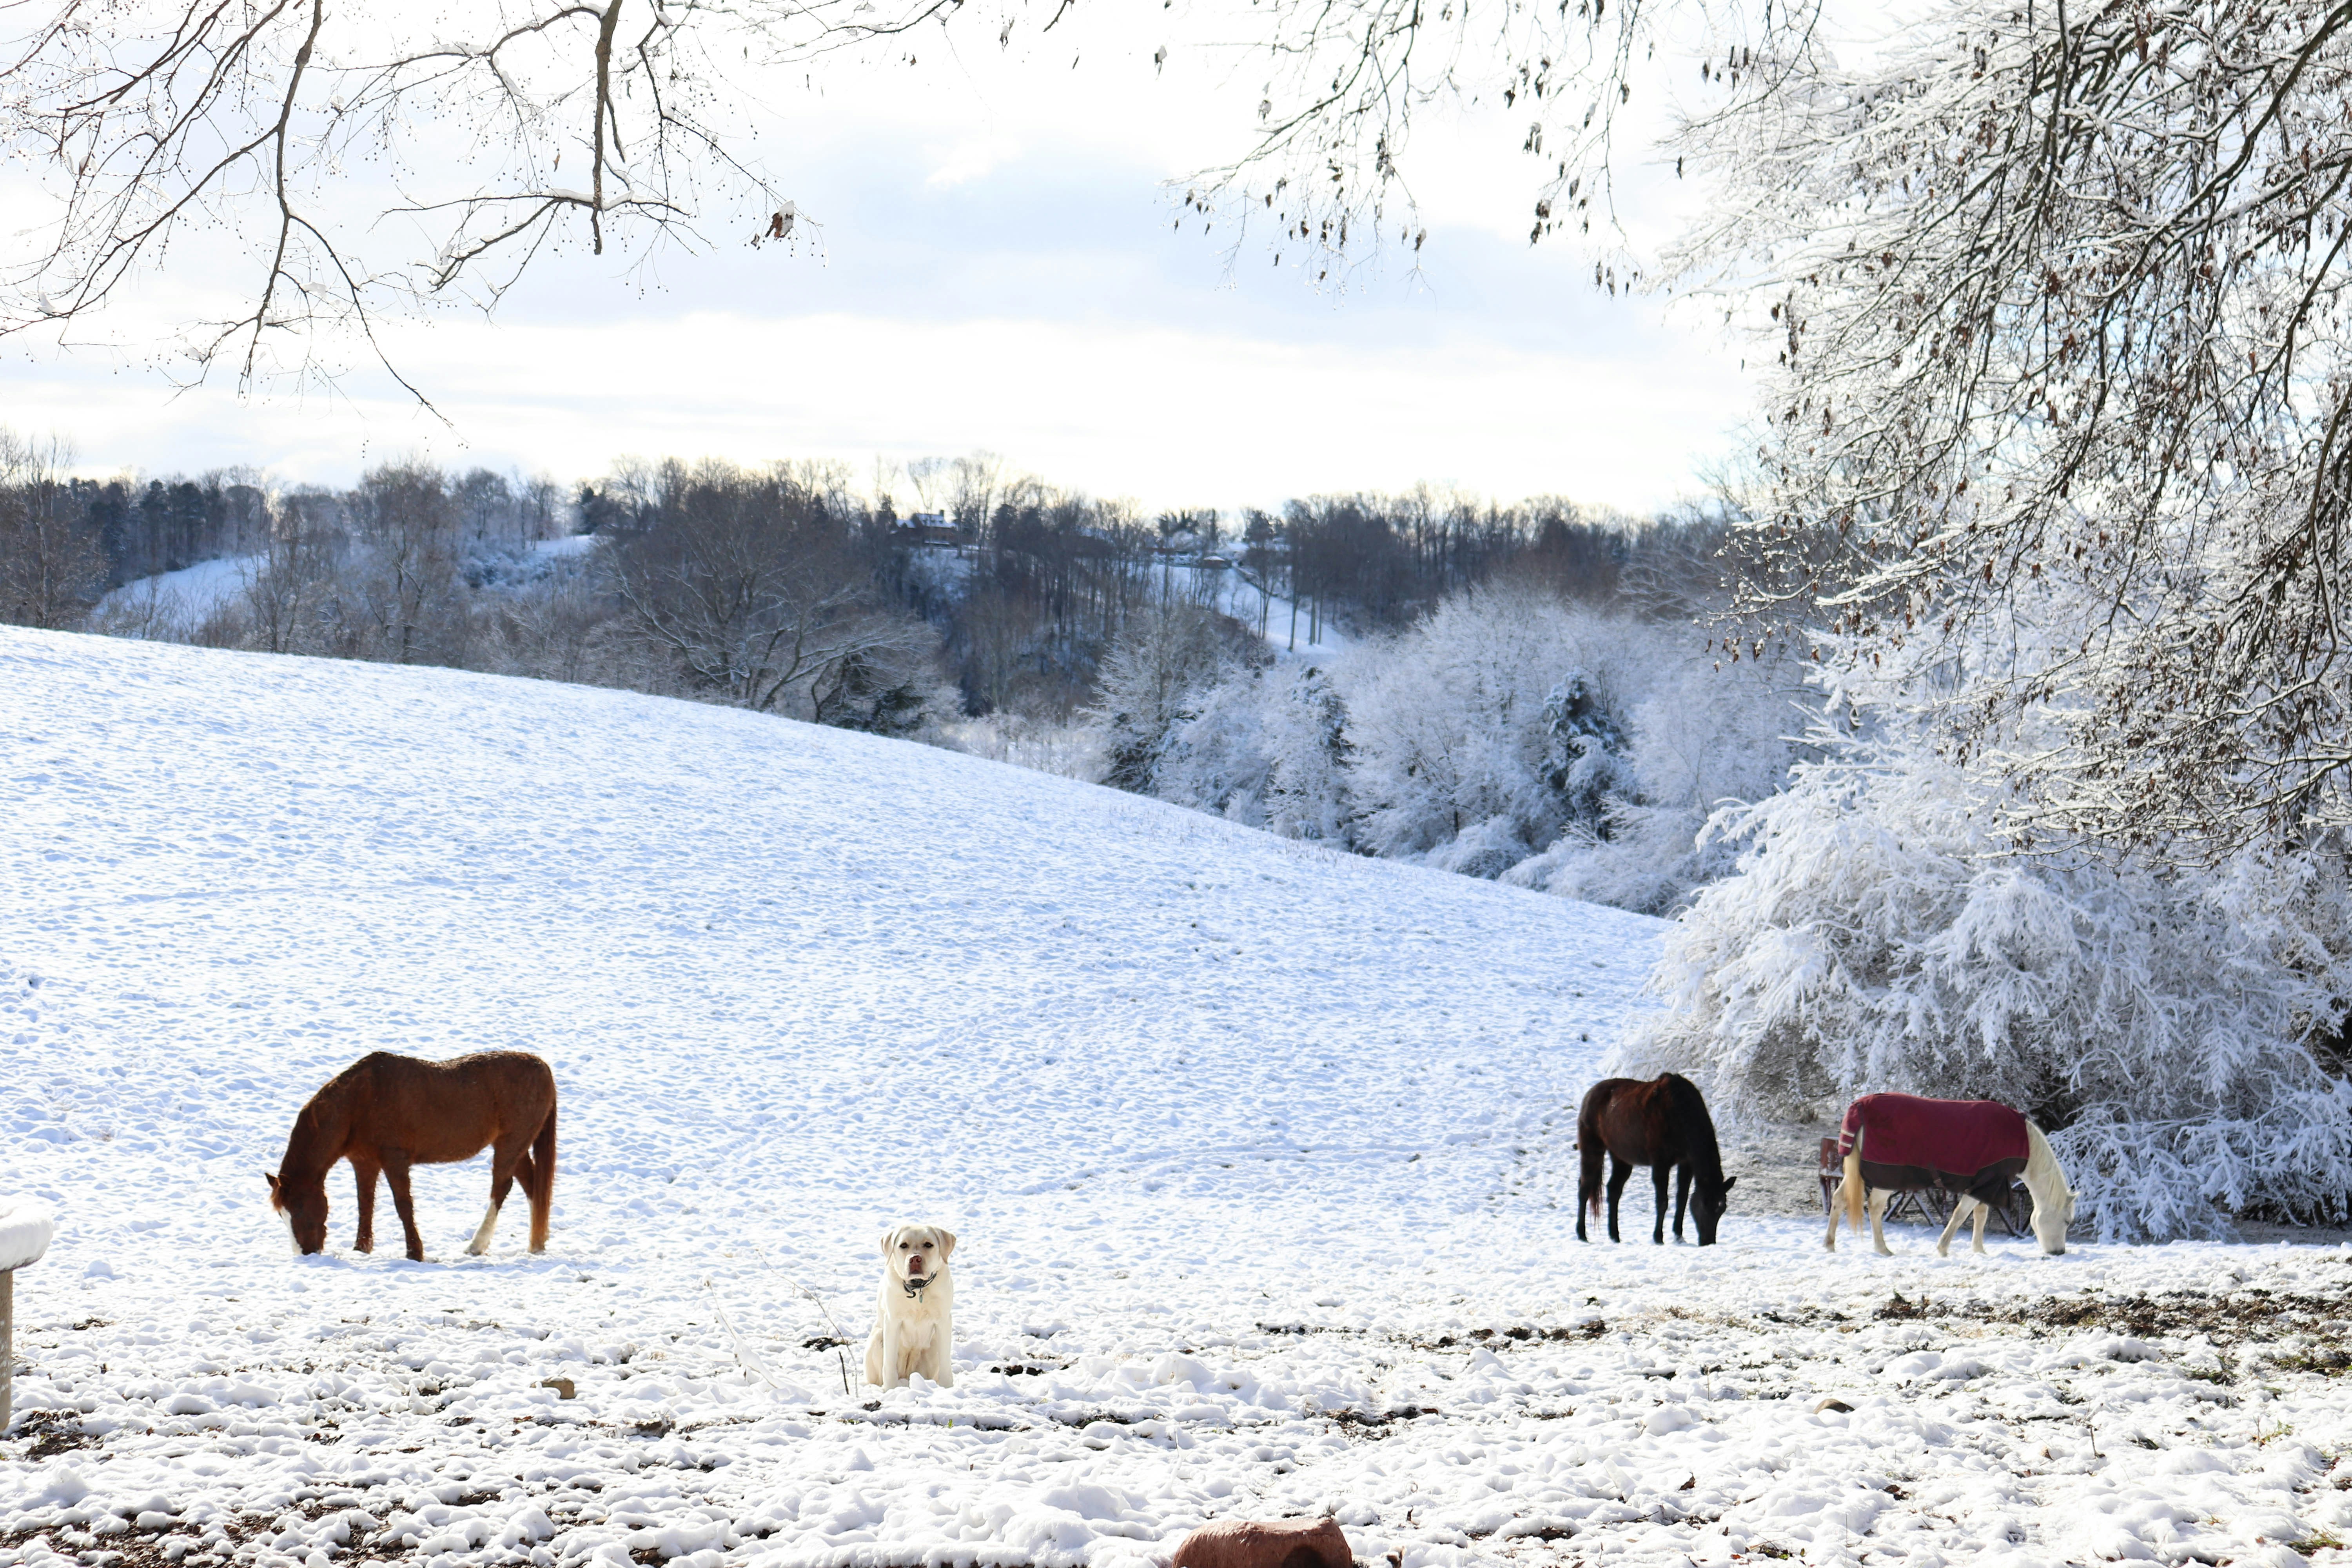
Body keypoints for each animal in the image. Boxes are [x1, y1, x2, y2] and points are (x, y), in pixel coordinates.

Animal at [267, 1050, 558, 1261]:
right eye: (282, 1215)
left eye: (299, 1209)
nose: (305, 1254)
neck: (358, 1101)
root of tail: (542, 1067)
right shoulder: (364, 1163)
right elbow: (365, 1204)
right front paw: (362, 1249)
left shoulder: (395, 1161)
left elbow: (403, 1205)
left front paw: (415, 1253)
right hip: (516, 1147)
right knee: (533, 1186)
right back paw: (536, 1243)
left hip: (511, 1144)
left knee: (502, 1188)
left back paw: (477, 1245)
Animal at [1575, 1073, 1737, 1245]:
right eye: (1705, 1204)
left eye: (1722, 1209)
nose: (1708, 1242)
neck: (1679, 1112)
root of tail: (1589, 1095)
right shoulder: (1661, 1164)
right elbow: (1663, 1202)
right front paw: (1658, 1238)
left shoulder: (1686, 1163)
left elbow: (1682, 1199)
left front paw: (1679, 1236)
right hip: (1593, 1150)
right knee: (1585, 1188)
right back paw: (1582, 1235)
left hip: (1621, 1158)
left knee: (1614, 1191)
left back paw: (1615, 1236)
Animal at [1824, 1091, 2075, 1256]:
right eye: (2067, 1221)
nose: (2059, 1252)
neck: (2023, 1143)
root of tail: (1859, 1107)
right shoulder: (1984, 1186)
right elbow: (1961, 1215)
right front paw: (1943, 1249)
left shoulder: (1987, 1186)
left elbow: (1980, 1216)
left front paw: (1979, 1251)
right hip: (1886, 1178)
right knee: (1875, 1208)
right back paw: (1880, 1249)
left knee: (1840, 1199)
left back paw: (1833, 1245)